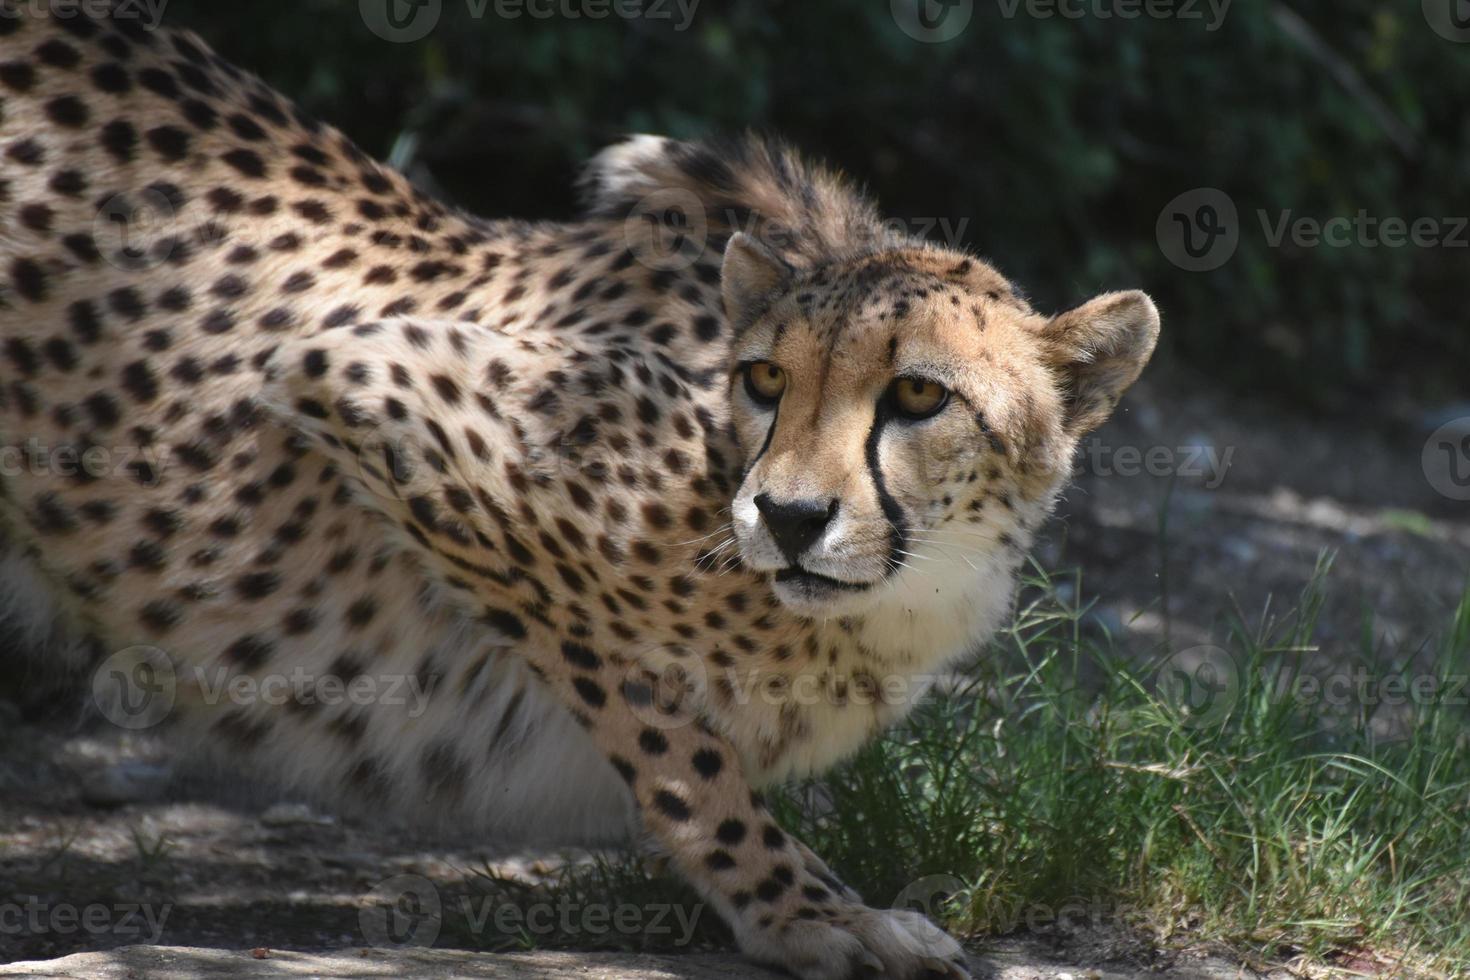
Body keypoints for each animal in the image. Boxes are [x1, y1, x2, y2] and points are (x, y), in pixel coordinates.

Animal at [0, 3, 1158, 975]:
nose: (787, 519)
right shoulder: (372, 381)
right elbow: (675, 741)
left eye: (919, 392)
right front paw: (805, 910)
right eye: (766, 379)